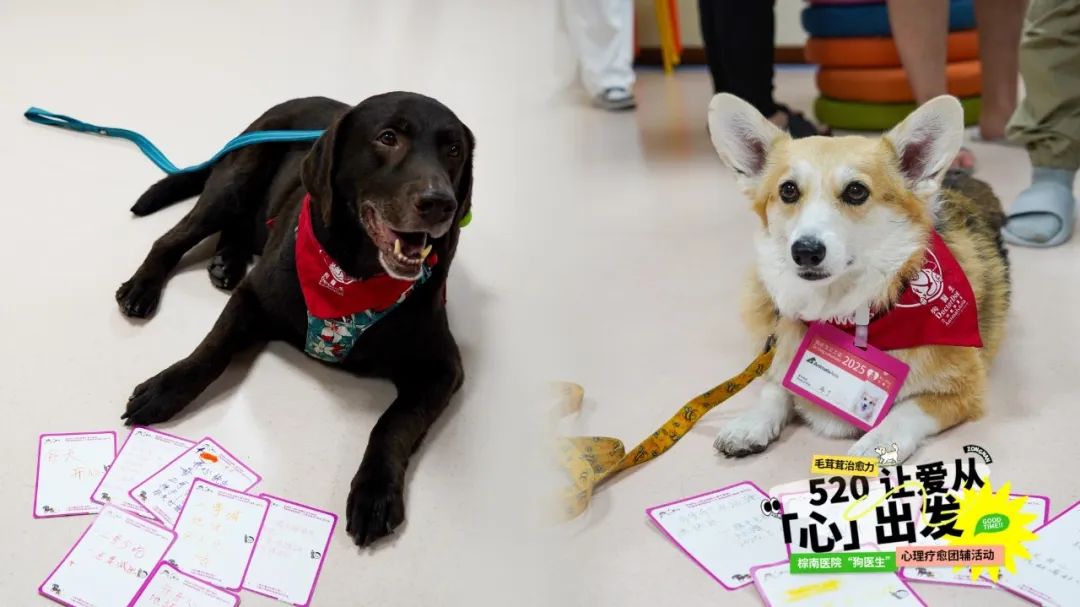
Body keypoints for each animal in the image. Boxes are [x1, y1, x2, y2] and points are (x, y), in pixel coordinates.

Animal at [114, 93, 474, 546]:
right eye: (388, 137)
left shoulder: (443, 368)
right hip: (233, 183)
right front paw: (164, 389)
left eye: (454, 149)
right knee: (172, 238)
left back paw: (226, 261)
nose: (440, 203)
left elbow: (394, 423)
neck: (354, 277)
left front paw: (375, 492)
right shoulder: (254, 296)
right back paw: (143, 287)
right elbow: (211, 350)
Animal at [707, 94, 1009, 463]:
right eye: (788, 190)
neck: (845, 316)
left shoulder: (964, 389)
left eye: (855, 191)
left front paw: (879, 442)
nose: (805, 251)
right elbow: (775, 386)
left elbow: (907, 411)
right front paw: (750, 424)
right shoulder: (777, 349)